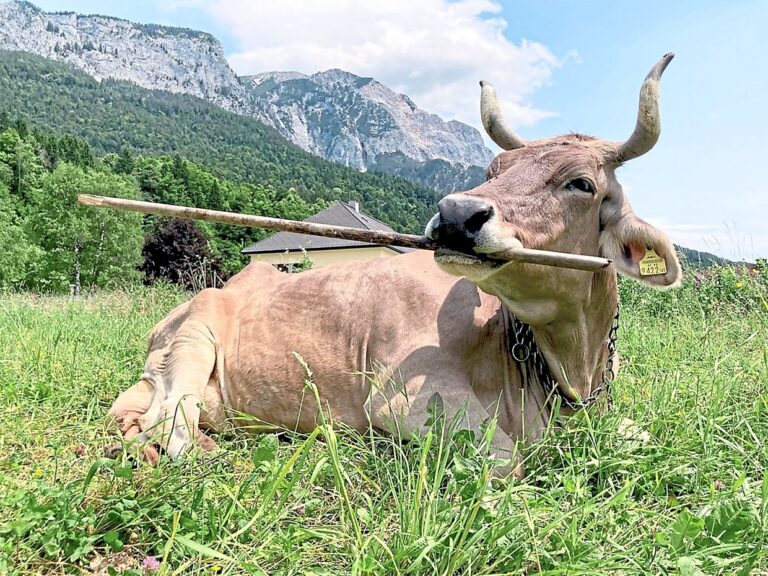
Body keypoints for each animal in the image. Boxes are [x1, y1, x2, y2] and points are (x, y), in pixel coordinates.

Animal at [106, 54, 681, 476]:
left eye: (581, 183)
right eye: (493, 170)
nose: (456, 214)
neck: (569, 372)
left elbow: (647, 434)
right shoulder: (404, 400)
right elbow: (507, 460)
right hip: (194, 338)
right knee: (169, 426)